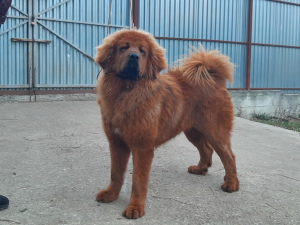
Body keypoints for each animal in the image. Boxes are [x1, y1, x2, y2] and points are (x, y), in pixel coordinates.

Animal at [94, 29, 239, 219]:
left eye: (142, 51)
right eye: (123, 47)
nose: (133, 56)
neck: (126, 92)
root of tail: (212, 78)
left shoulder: (143, 147)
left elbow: (138, 181)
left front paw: (135, 207)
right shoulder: (117, 143)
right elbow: (116, 173)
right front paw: (111, 194)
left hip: (216, 132)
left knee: (229, 156)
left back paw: (231, 183)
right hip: (193, 132)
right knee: (207, 149)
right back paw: (200, 169)